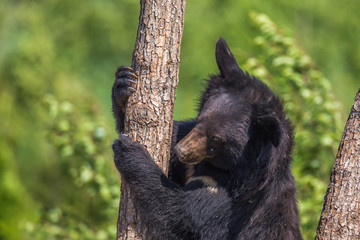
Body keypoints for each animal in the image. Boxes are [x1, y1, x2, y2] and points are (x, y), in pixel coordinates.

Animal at [111, 38, 302, 240]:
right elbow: (174, 134)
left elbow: (182, 216)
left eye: (216, 138)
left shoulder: (232, 202)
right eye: (200, 118)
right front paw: (124, 83)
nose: (181, 151)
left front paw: (129, 151)